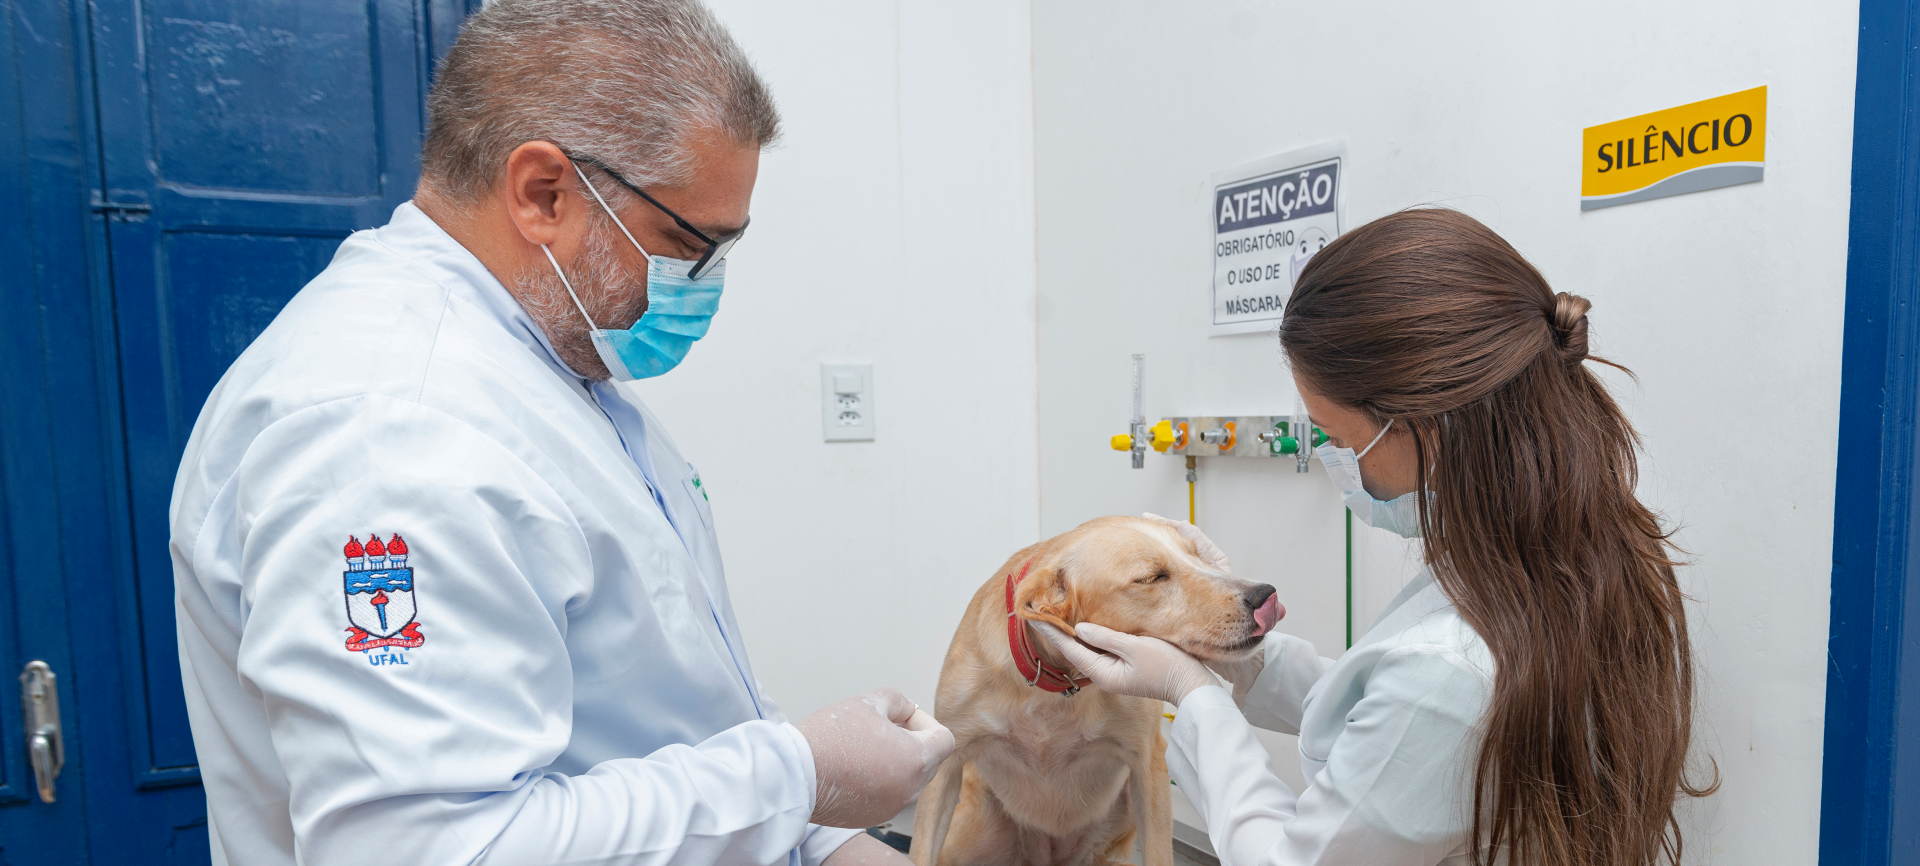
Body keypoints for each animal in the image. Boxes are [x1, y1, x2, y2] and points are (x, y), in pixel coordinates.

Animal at [910, 514, 1282, 866]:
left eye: (1198, 555)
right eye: (1152, 577)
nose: (1265, 595)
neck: (1055, 687)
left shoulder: (1149, 763)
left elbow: (1159, 850)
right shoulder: (946, 766)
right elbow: (921, 848)